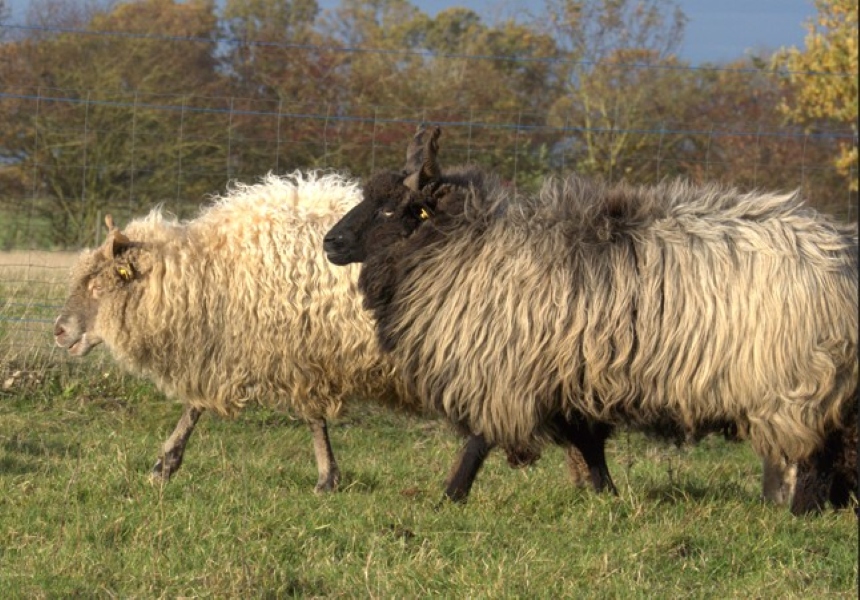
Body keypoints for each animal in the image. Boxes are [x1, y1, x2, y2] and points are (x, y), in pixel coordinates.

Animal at [53, 170, 581, 499]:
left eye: (98, 284)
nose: (59, 332)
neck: (211, 273)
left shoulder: (296, 351)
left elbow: (304, 418)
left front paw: (326, 479)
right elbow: (199, 407)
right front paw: (166, 464)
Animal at [323, 127, 858, 514]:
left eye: (393, 209)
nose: (330, 242)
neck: (469, 247)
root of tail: (841, 253)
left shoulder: (505, 370)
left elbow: (479, 440)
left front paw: (450, 496)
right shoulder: (573, 378)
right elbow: (588, 444)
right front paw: (606, 497)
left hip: (797, 382)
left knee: (817, 452)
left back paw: (801, 514)